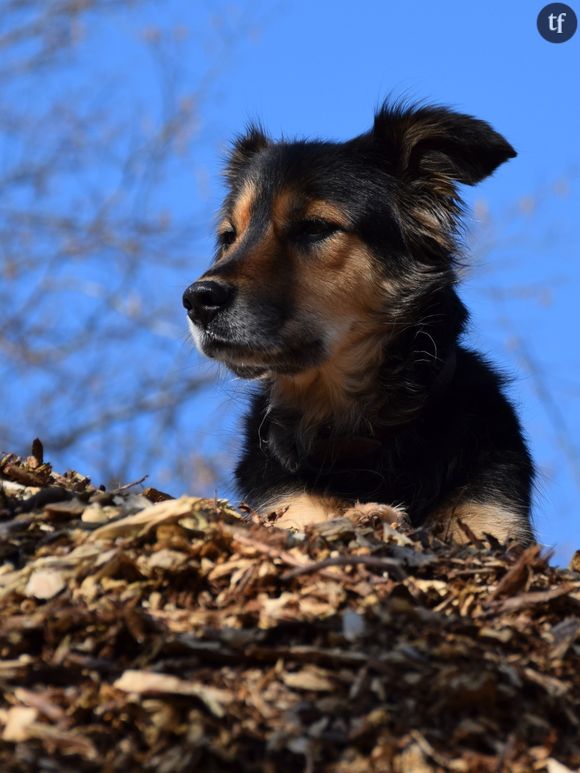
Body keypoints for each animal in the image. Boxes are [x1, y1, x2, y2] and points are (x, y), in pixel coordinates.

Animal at [182, 99, 536, 544]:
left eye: (315, 227)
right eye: (230, 237)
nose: (197, 300)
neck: (358, 432)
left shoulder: (493, 516)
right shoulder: (293, 505)